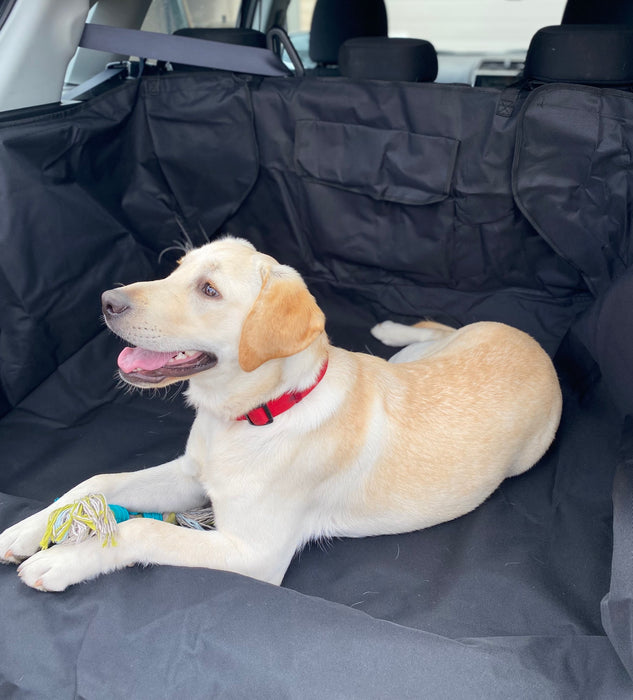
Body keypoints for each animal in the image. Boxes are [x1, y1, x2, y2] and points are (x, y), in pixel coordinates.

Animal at [2, 237, 560, 592]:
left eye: (209, 290)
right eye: (176, 268)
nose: (106, 300)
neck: (251, 414)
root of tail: (529, 340)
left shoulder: (255, 552)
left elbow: (143, 530)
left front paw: (62, 559)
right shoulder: (190, 474)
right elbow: (96, 481)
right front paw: (26, 530)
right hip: (418, 357)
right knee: (435, 332)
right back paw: (390, 330)